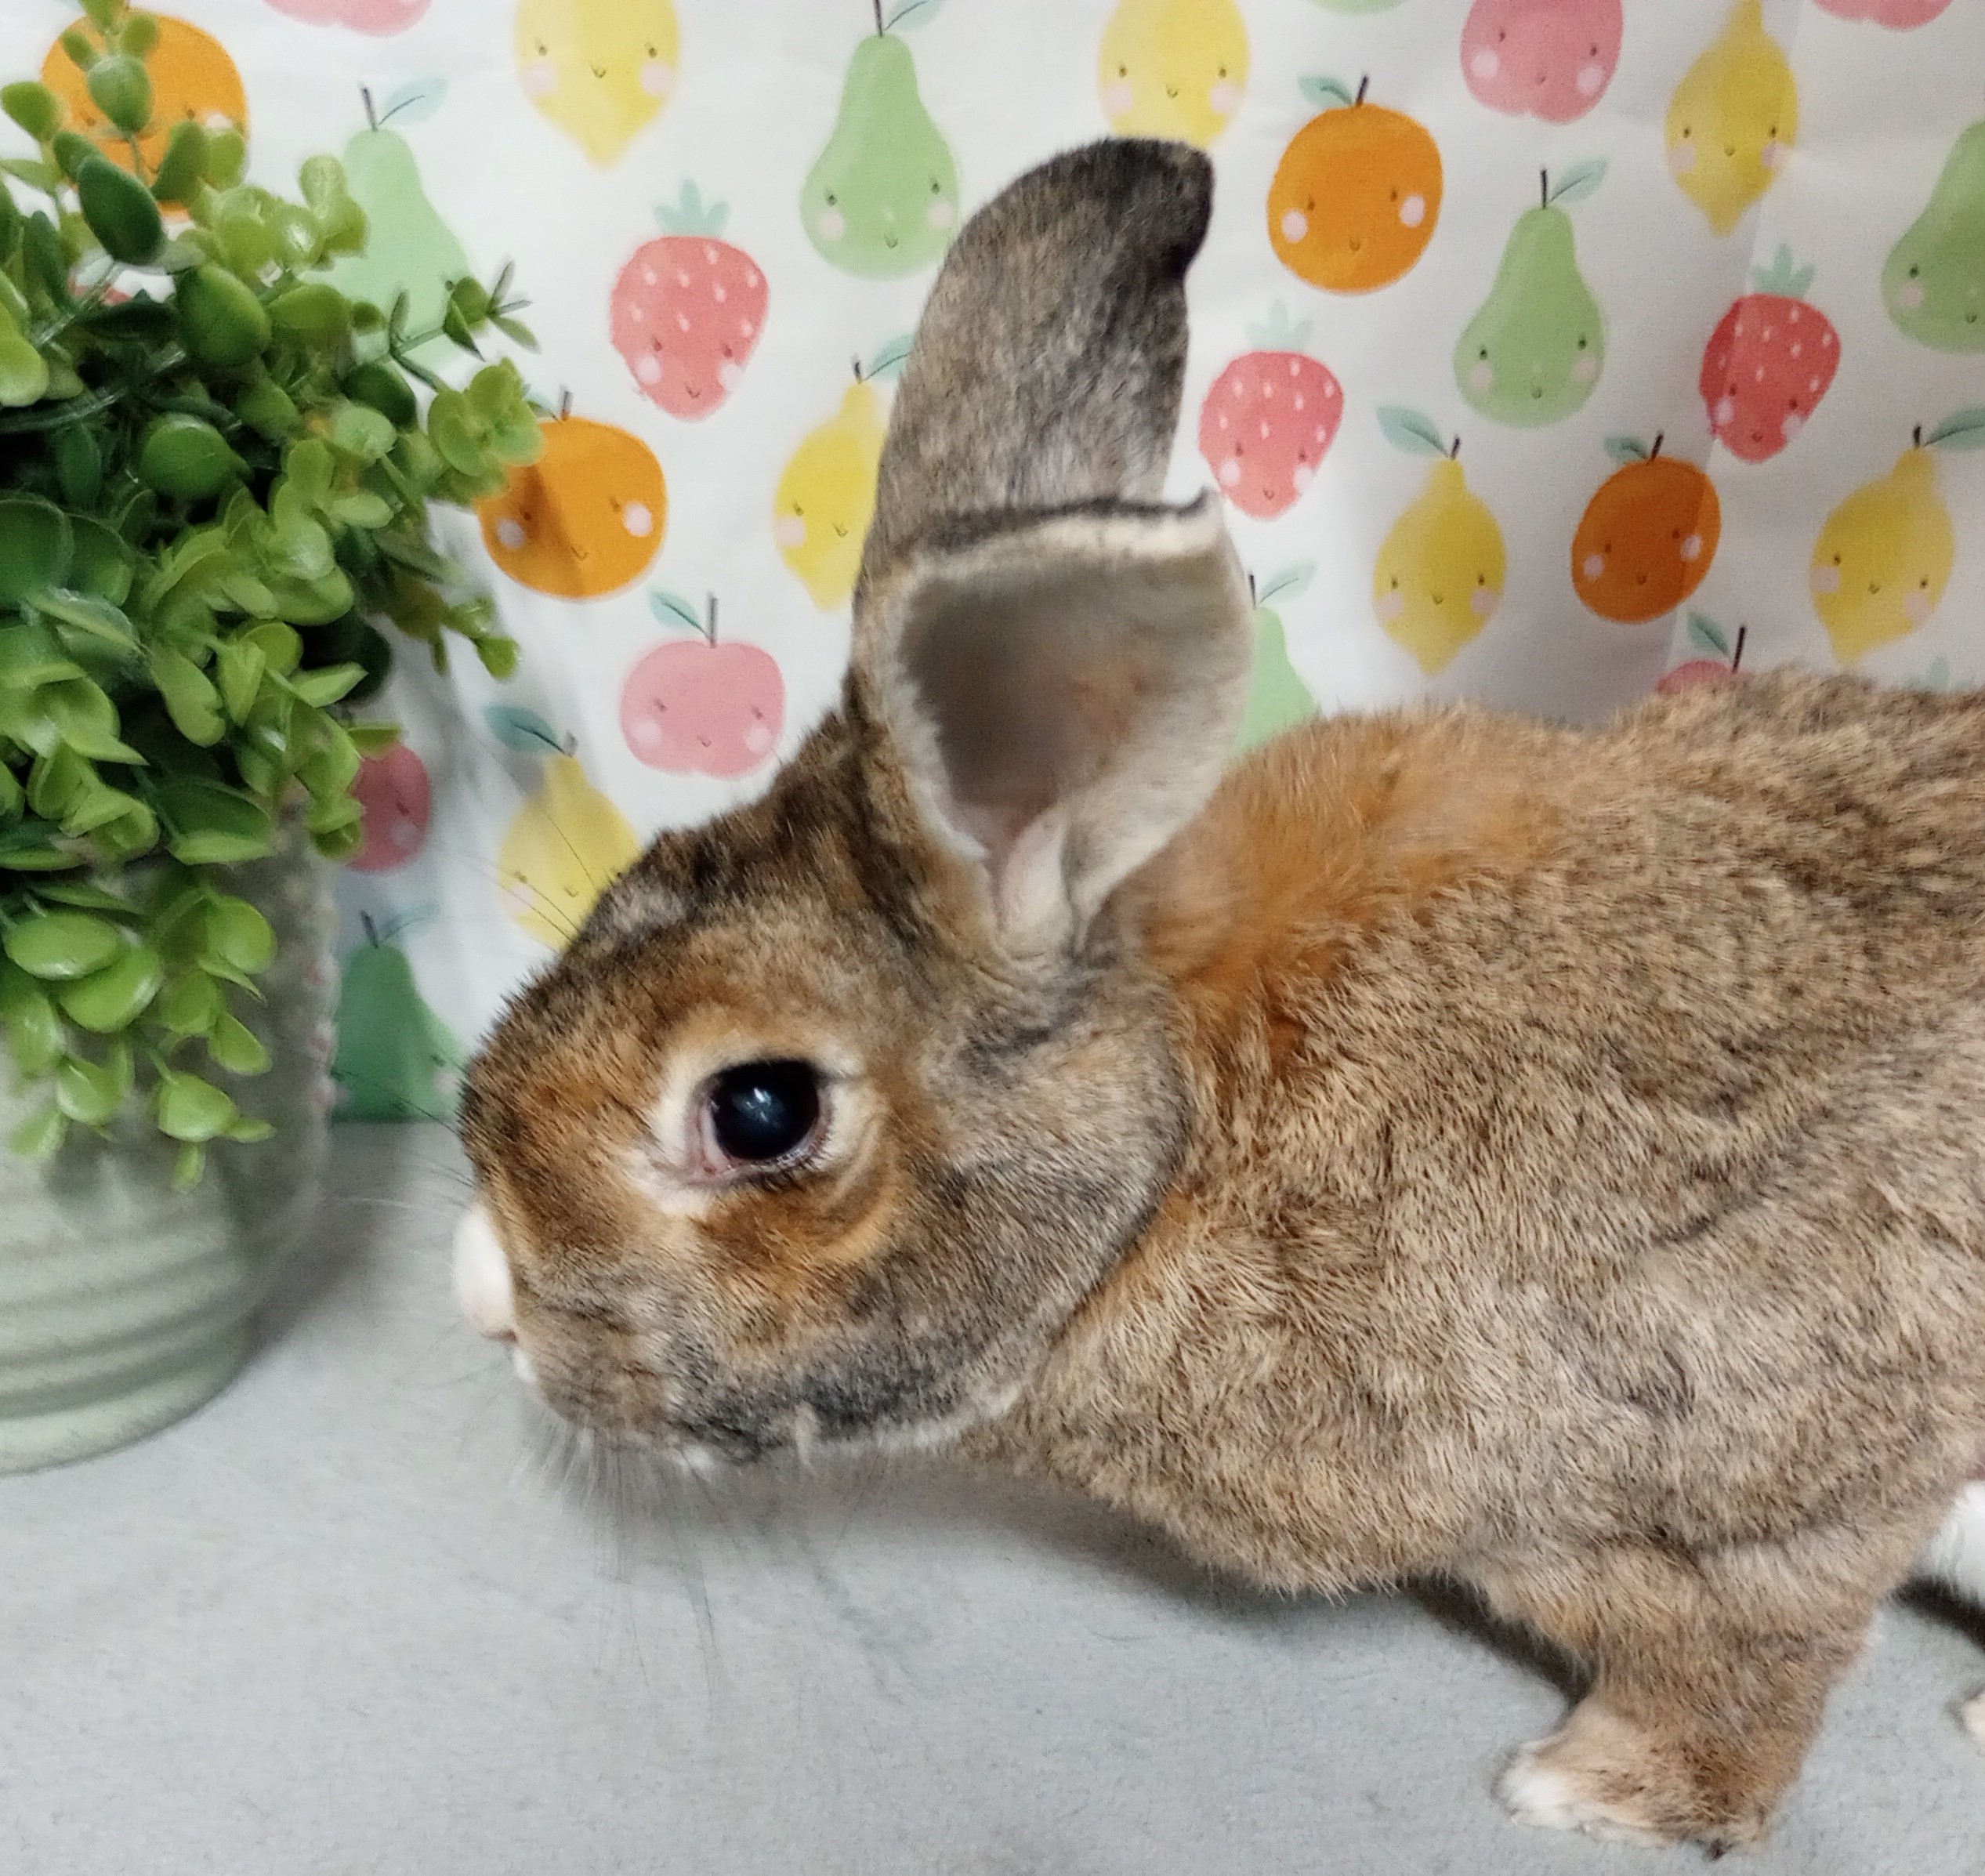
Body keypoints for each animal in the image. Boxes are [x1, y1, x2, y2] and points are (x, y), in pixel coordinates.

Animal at [452, 139, 1985, 1852]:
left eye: (761, 1107)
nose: (482, 1293)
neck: (1180, 1146)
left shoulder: (1781, 1475)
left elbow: (1753, 1661)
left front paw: (1592, 1789)